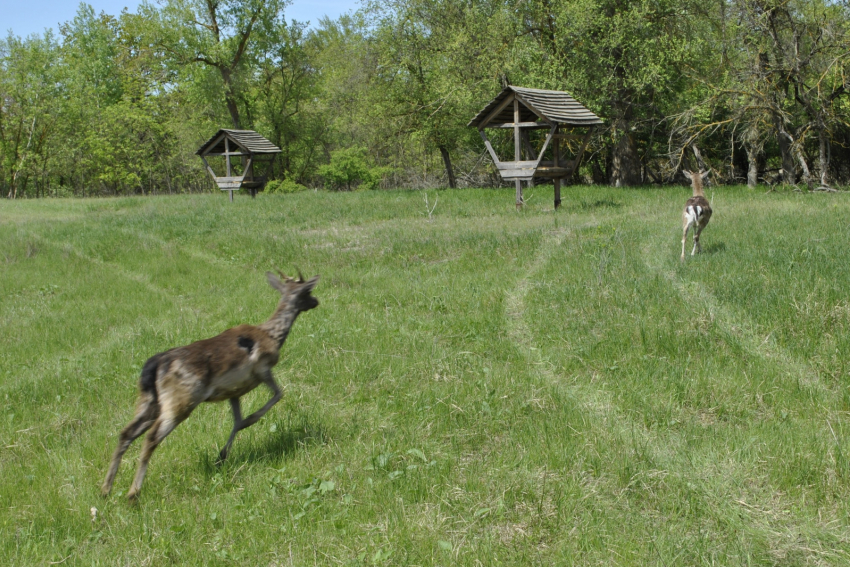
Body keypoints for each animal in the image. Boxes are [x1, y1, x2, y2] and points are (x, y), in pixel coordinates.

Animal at [102, 272, 320, 502]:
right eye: (308, 291)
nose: (316, 301)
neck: (273, 335)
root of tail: (154, 366)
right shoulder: (262, 369)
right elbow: (277, 395)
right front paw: (244, 428)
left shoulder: (235, 390)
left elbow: (238, 420)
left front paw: (222, 455)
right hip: (181, 399)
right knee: (151, 437)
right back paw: (133, 493)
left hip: (149, 401)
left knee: (126, 432)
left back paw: (106, 489)